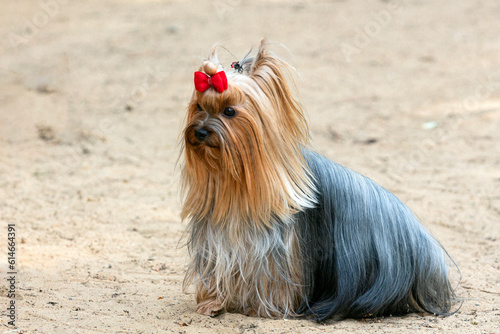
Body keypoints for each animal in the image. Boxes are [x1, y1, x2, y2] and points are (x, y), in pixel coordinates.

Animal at [183, 39, 458, 320]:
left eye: (229, 111)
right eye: (199, 107)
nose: (200, 132)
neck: (238, 180)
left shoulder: (279, 250)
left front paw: (262, 308)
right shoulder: (219, 236)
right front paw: (212, 303)